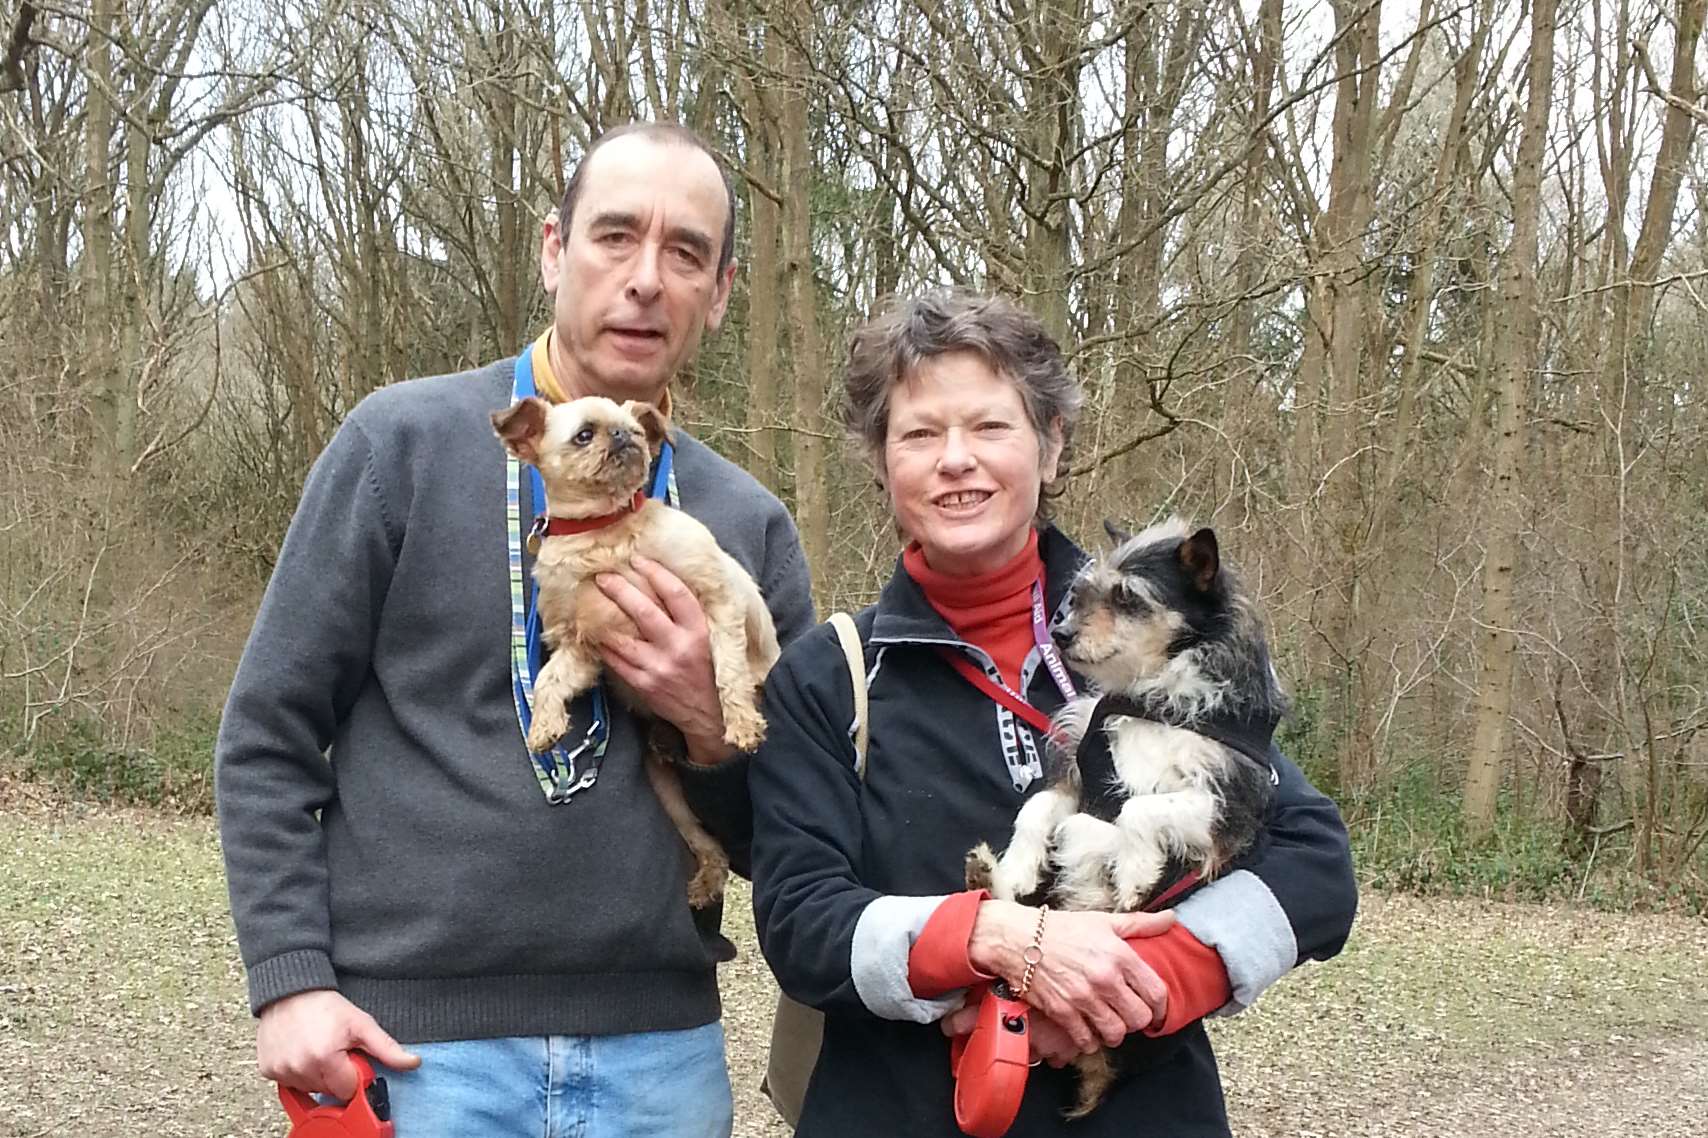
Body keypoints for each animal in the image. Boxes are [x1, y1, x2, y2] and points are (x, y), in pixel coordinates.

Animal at [495, 394, 782, 902]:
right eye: (584, 435)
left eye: (633, 428)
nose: (624, 436)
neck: (603, 532)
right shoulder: (583, 648)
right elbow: (548, 680)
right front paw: (545, 726)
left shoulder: (717, 600)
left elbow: (726, 670)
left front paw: (742, 723)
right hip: (667, 791)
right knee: (707, 843)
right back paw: (705, 881)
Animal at [976, 516, 1284, 1114]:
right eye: (1082, 592)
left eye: (1128, 598)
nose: (1061, 633)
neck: (1151, 699)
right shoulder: (1080, 770)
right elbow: (1038, 809)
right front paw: (1020, 865)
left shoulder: (1225, 806)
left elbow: (1139, 808)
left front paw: (1137, 871)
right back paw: (986, 872)